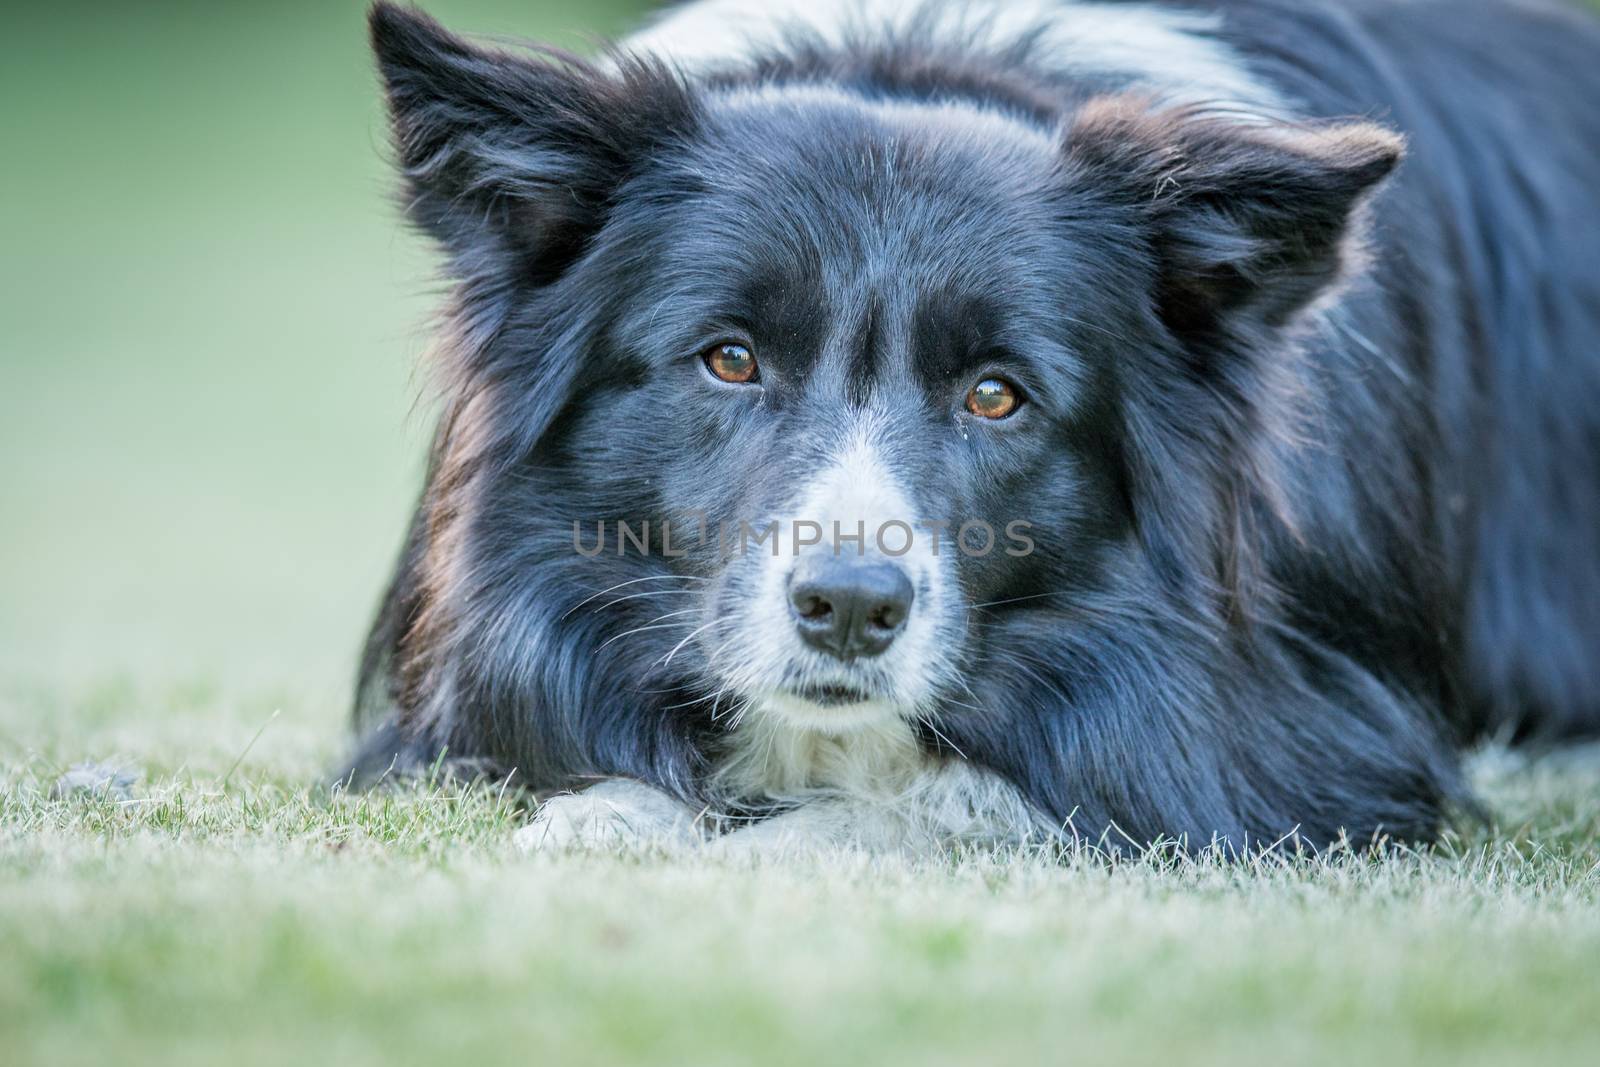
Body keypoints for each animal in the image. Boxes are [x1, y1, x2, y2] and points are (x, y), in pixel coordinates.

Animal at [344, 0, 1600, 851]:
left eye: (997, 394)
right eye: (730, 360)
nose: (851, 608)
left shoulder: (1327, 741)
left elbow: (971, 796)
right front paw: (595, 828)